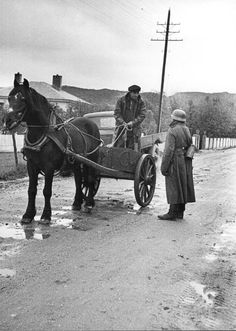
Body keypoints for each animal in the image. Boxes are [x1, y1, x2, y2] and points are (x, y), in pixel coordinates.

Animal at [3, 79, 101, 226]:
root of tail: (91, 123)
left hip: (92, 159)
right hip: (76, 162)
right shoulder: (31, 165)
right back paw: (77, 203)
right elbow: (31, 190)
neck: (43, 132)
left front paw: (45, 216)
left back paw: (88, 203)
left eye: (23, 98)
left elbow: (47, 191)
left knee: (90, 180)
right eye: (9, 98)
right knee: (79, 180)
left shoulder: (49, 167)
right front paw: (28, 215)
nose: (7, 121)